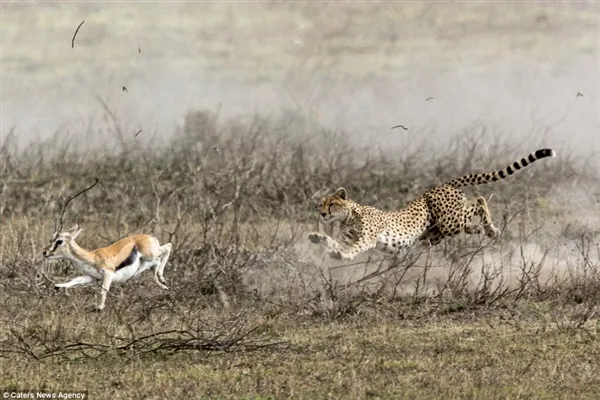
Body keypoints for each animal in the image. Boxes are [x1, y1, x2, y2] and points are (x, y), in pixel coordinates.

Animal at [310, 148, 556, 260]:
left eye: (331, 204)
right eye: (319, 205)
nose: (322, 214)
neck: (349, 216)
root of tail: (442, 185)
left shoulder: (367, 238)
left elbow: (354, 247)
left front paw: (343, 255)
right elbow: (335, 243)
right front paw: (317, 238)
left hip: (448, 222)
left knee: (479, 201)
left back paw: (491, 229)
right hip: (437, 233)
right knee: (469, 218)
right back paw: (479, 229)